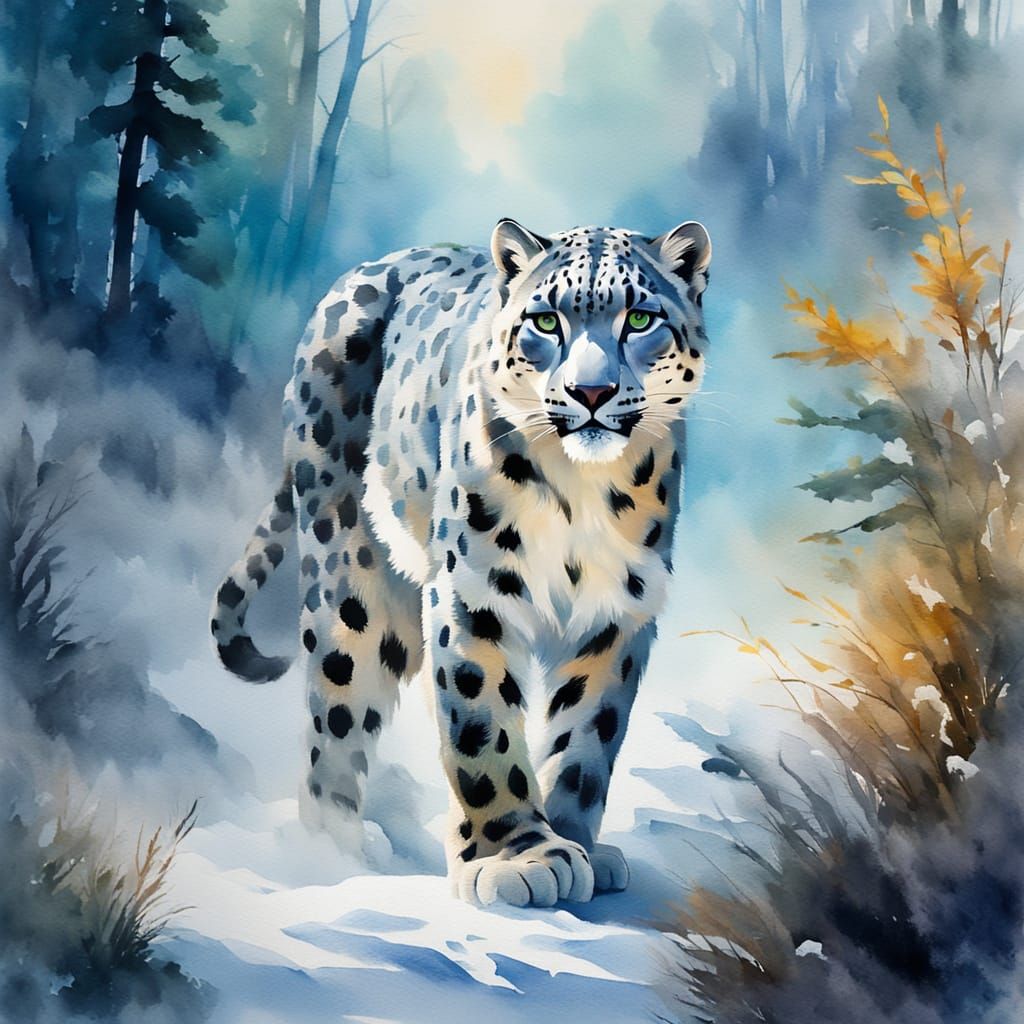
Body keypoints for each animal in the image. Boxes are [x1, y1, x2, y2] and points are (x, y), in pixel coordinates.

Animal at [211, 218, 712, 907]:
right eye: (546, 320)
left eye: (639, 319)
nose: (590, 392)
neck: (581, 492)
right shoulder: (473, 589)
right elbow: (481, 723)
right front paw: (520, 857)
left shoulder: (619, 606)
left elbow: (589, 732)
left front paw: (575, 841)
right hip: (353, 578)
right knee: (339, 704)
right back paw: (331, 846)